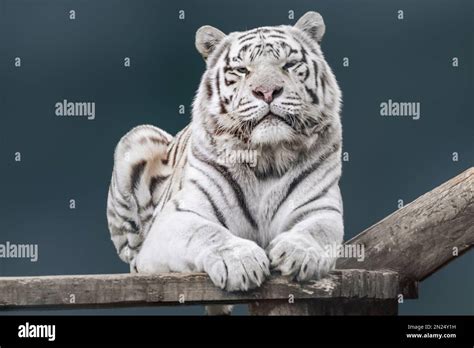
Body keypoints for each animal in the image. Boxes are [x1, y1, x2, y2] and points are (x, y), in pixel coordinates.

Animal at [106, 12, 344, 314]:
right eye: (242, 70)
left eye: (289, 64)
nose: (267, 91)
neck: (268, 156)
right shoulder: (178, 217)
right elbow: (206, 232)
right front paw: (240, 262)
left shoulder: (321, 207)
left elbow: (317, 230)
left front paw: (297, 253)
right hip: (137, 139)